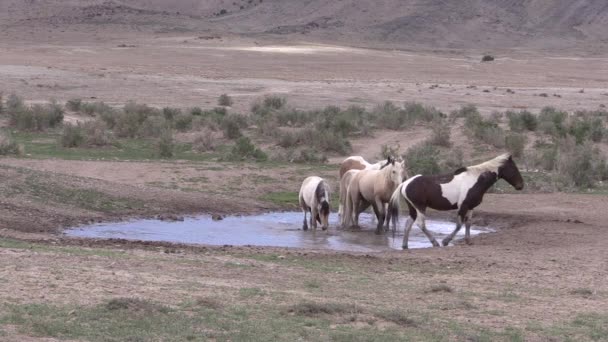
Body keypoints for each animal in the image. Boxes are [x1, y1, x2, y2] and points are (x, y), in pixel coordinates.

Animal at [392, 154, 524, 248]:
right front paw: (446, 241)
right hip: (420, 207)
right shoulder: (463, 206)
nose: (521, 186)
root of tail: (405, 183)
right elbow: (459, 225)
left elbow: (468, 223)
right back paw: (435, 243)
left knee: (408, 223)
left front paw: (468, 241)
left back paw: (405, 245)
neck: (476, 179)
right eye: (514, 168)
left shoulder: (471, 207)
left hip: (413, 208)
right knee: (421, 224)